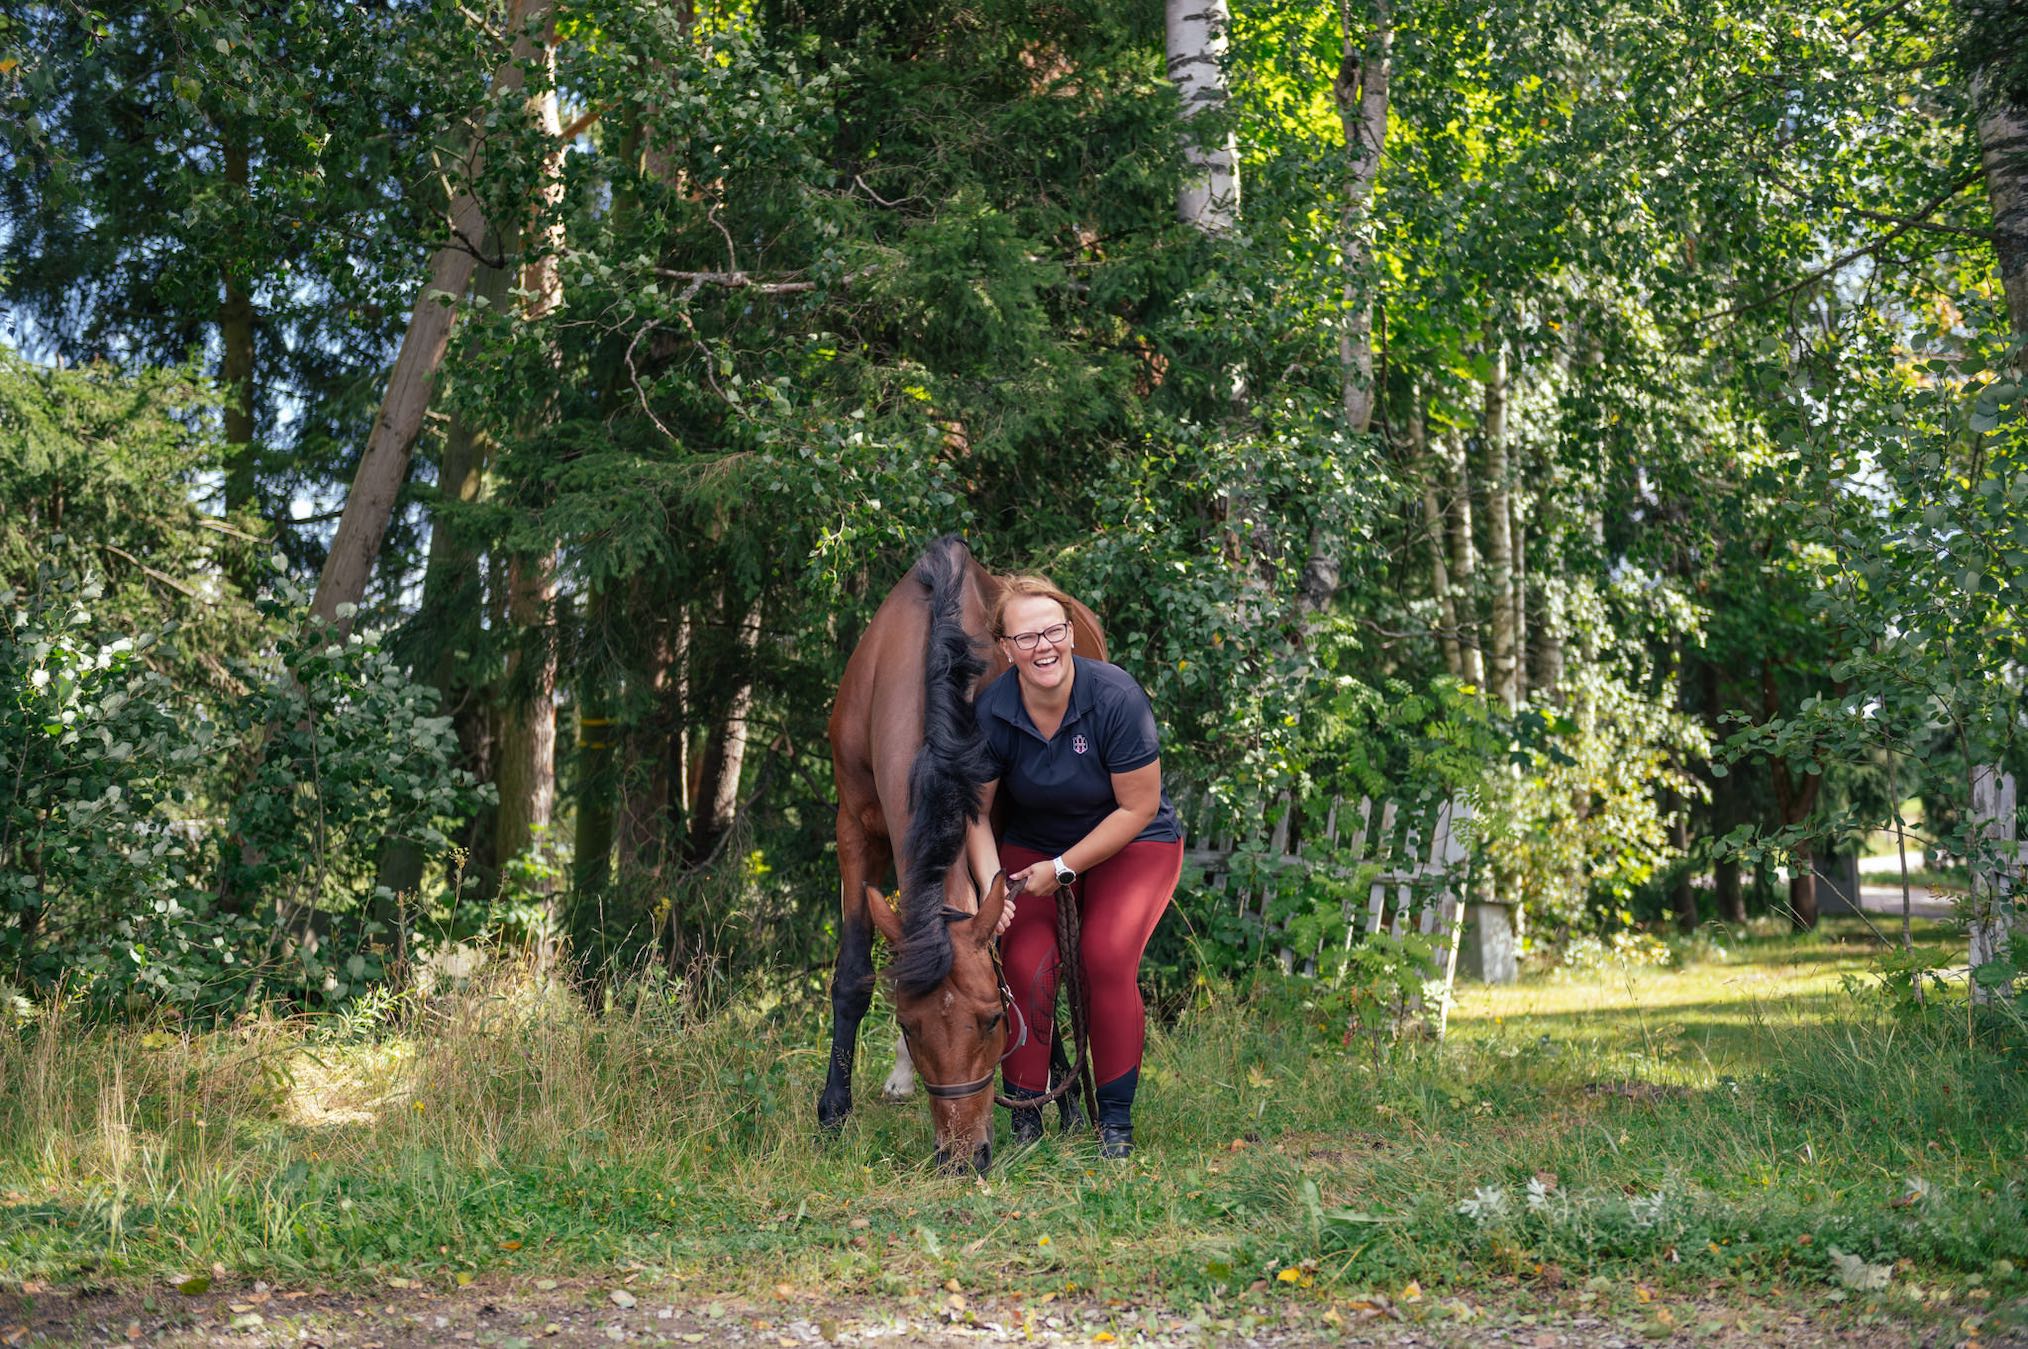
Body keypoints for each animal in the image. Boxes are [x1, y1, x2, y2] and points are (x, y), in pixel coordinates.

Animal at [819, 535, 1111, 1168]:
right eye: (910, 1025)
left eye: (993, 1020)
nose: (961, 1157)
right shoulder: (854, 829)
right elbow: (853, 973)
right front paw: (833, 1111)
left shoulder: (999, 840)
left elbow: (1019, 964)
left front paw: (1048, 1108)